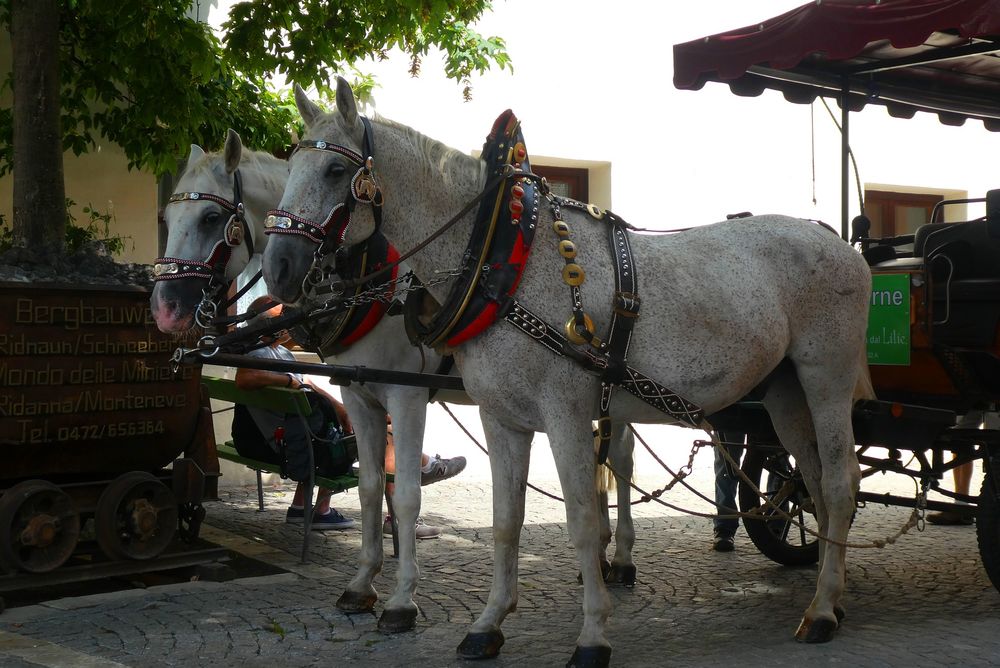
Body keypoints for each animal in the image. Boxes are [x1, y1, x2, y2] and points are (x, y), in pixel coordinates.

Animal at [148, 130, 639, 635]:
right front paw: (363, 583)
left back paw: (619, 557)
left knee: (619, 457)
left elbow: (404, 494)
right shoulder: (356, 393)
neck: (372, 281)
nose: (164, 308)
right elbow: (369, 488)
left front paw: (402, 599)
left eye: (210, 218)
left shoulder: (406, 395)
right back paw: (600, 555)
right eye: (167, 217)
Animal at [260, 78, 874, 667]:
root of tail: (838, 242)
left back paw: (821, 610)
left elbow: (578, 516)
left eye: (336, 171)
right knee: (811, 482)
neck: (502, 260)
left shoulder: (560, 413)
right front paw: (488, 623)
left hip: (826, 378)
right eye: (290, 167)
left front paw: (592, 633)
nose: (279, 270)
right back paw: (832, 594)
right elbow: (504, 519)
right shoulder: (498, 417)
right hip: (784, 392)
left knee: (839, 484)